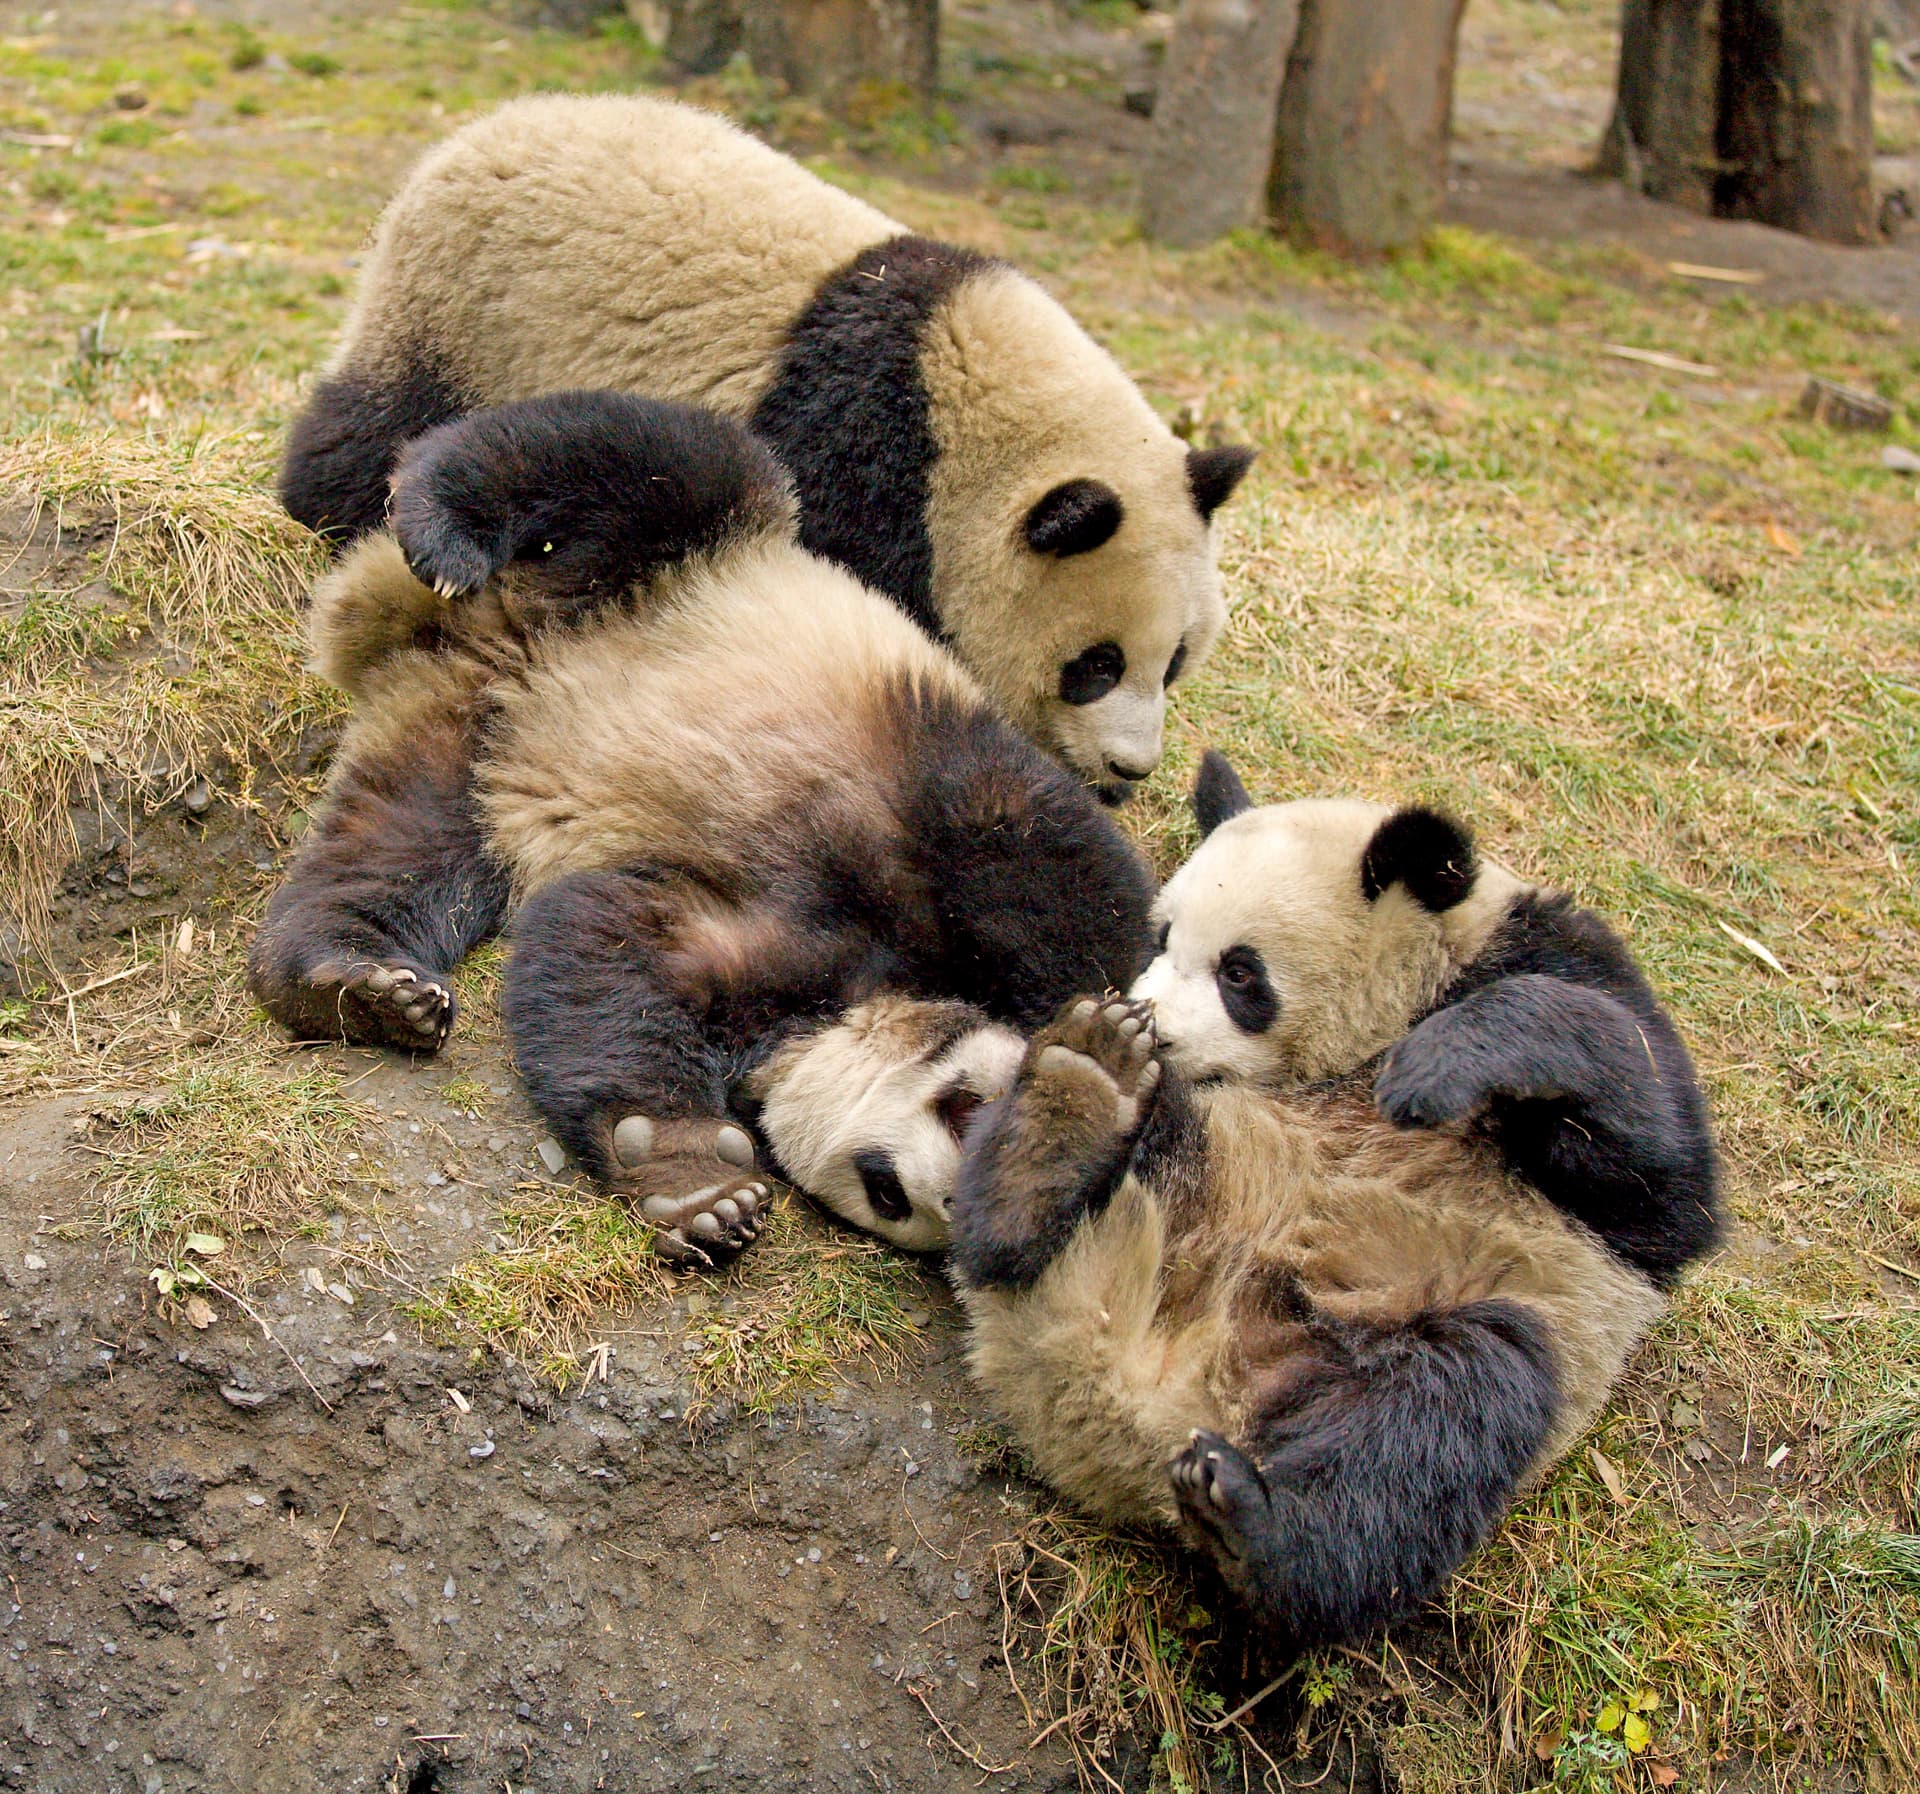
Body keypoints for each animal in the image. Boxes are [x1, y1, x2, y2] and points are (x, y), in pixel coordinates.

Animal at [248, 388, 1155, 1264]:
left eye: (885, 1198)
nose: (943, 1195)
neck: (866, 990)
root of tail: (481, 641)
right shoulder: (932, 798)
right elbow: (1050, 873)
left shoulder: (774, 969)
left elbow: (608, 941)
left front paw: (693, 1188)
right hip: (670, 567)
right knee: (643, 461)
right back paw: (443, 518)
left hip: (458, 747)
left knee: (392, 846)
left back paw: (353, 984)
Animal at [276, 93, 1254, 801]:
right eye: (1096, 664)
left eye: (1176, 661)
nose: (1131, 769)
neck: (963, 417)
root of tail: (484, 127)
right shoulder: (857, 455)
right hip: (462, 306)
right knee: (375, 423)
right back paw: (335, 507)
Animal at [937, 752, 1722, 1653]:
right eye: (1162, 936)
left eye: (1241, 972)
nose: (1157, 1024)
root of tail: (1135, 1395)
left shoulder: (1560, 969)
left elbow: (1659, 1171)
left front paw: (1436, 1067)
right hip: (1202, 1158)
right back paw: (1073, 1102)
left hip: (1446, 1305)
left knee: (1439, 1421)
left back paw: (1256, 1525)